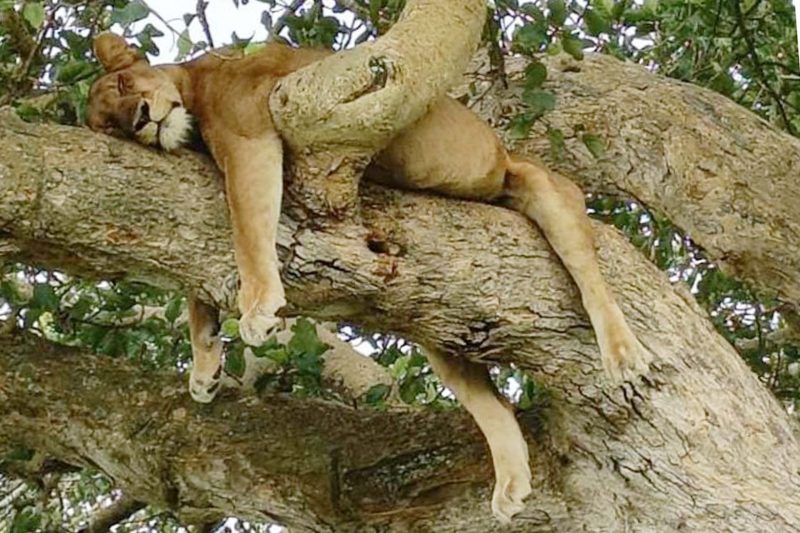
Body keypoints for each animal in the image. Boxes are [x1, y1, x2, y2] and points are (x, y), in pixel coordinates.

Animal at [86, 32, 648, 524]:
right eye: (110, 127)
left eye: (124, 85)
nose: (140, 120)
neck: (194, 84)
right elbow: (195, 279)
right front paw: (204, 367)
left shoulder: (248, 136)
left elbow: (246, 228)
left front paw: (258, 306)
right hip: (443, 323)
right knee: (491, 402)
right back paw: (511, 483)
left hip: (543, 188)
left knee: (590, 276)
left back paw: (624, 355)